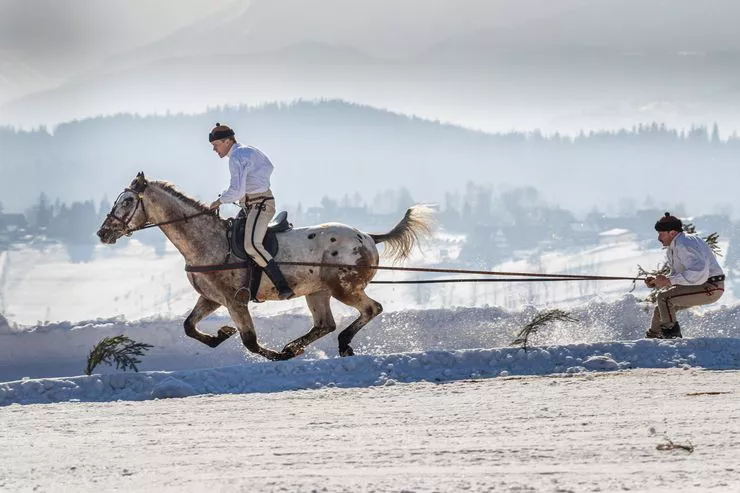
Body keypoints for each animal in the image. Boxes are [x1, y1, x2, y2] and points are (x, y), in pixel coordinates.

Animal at [97, 173, 434, 362]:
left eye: (127, 201)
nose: (103, 233)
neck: (205, 242)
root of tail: (367, 237)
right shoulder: (211, 298)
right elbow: (189, 327)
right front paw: (221, 334)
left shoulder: (235, 301)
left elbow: (249, 341)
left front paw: (270, 354)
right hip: (317, 292)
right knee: (325, 324)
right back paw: (297, 347)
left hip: (344, 287)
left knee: (371, 309)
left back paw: (339, 346)